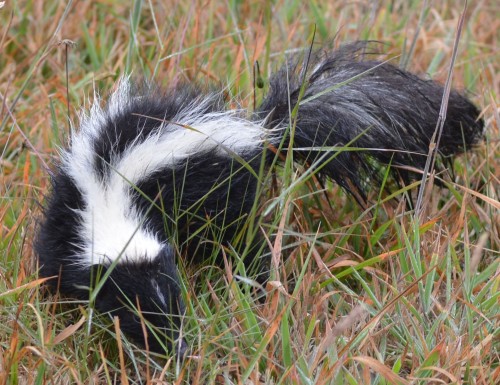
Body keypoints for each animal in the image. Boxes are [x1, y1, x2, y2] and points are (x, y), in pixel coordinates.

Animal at [35, 42, 484, 354]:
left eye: (175, 304)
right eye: (134, 312)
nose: (176, 348)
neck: (110, 190)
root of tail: (263, 131)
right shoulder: (70, 204)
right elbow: (54, 263)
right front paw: (59, 310)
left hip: (229, 194)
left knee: (242, 241)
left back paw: (258, 285)